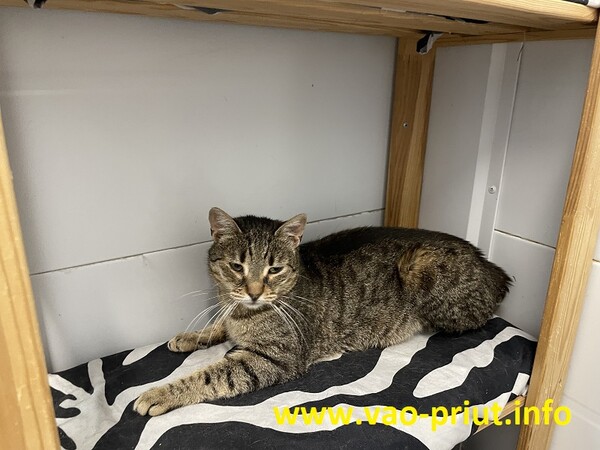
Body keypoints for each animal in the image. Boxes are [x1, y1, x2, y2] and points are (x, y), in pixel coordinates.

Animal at [134, 207, 511, 416]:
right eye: (236, 266)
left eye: (274, 269)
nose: (254, 292)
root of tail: (492, 266)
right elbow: (221, 325)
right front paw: (192, 336)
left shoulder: (273, 359)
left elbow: (210, 375)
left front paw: (159, 393)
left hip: (420, 266)